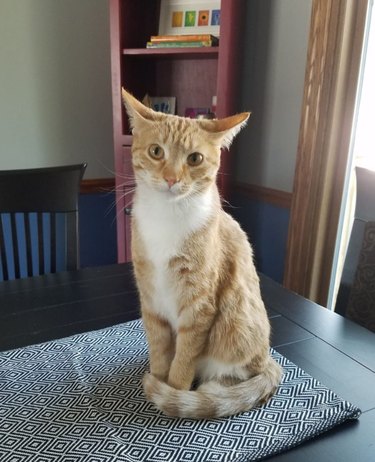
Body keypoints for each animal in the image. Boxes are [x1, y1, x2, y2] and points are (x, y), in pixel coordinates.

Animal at [122, 87, 284, 418]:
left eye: (194, 158)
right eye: (156, 152)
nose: (171, 179)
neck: (166, 217)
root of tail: (268, 358)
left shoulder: (199, 306)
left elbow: (184, 358)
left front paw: (174, 391)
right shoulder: (150, 299)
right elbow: (159, 348)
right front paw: (158, 378)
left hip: (237, 332)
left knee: (242, 375)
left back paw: (215, 390)